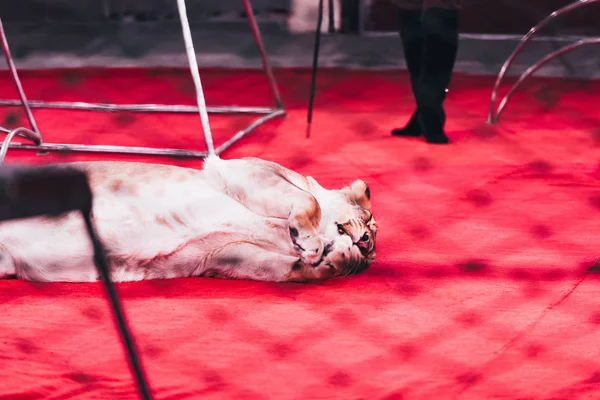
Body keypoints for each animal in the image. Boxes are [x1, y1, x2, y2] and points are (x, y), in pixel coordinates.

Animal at [0, 155, 378, 282]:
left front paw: (337, 260)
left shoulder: (221, 256)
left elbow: (294, 272)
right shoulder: (244, 170)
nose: (368, 245)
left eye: (372, 258)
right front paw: (310, 241)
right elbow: (309, 199)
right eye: (370, 219)